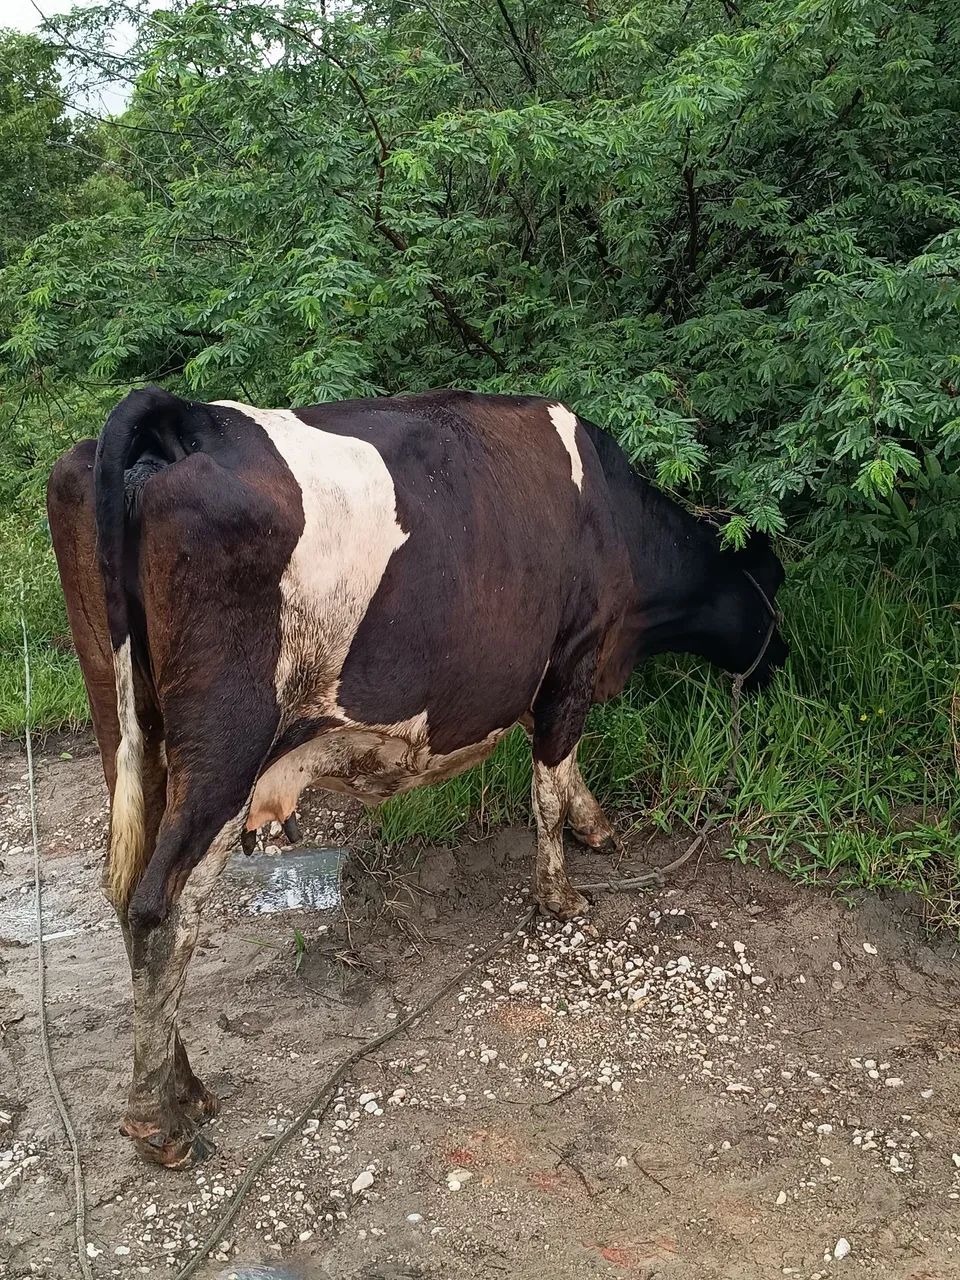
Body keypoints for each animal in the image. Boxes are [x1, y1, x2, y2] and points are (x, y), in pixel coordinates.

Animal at [47, 386, 787, 1168]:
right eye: (774, 583)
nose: (781, 660)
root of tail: (180, 416)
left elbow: (563, 768)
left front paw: (596, 826)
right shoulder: (574, 654)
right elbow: (549, 782)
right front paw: (559, 894)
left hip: (126, 724)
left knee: (127, 895)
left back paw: (181, 1085)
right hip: (226, 745)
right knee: (164, 910)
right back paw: (161, 1120)